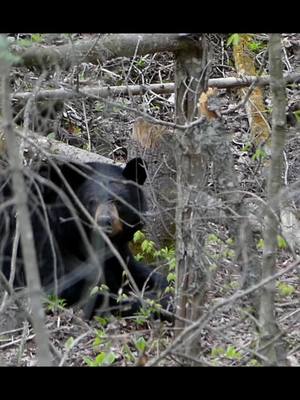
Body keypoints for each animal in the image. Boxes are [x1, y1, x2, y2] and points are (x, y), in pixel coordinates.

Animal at [0, 158, 172, 320]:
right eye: (91, 201)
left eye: (118, 201)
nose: (104, 221)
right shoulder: (41, 235)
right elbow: (67, 282)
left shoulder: (115, 250)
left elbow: (132, 269)